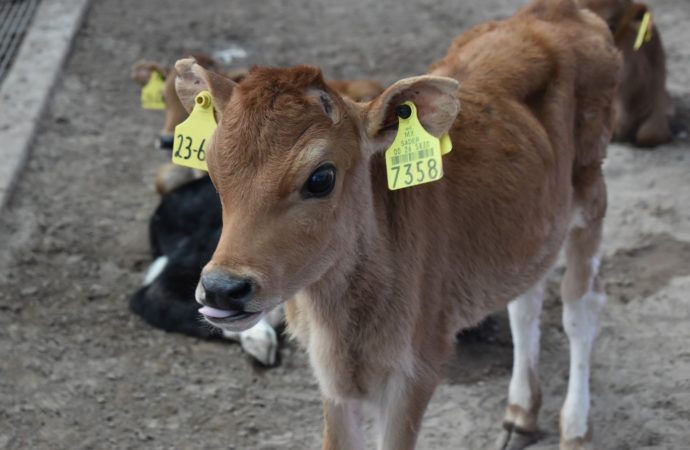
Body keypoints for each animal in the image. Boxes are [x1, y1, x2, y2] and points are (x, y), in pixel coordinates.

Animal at [176, 1, 620, 448]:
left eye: (321, 177)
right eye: (211, 166)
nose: (222, 288)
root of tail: (554, 11)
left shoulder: (417, 366)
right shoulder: (330, 376)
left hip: (592, 191)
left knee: (581, 308)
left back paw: (576, 428)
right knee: (526, 300)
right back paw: (521, 413)